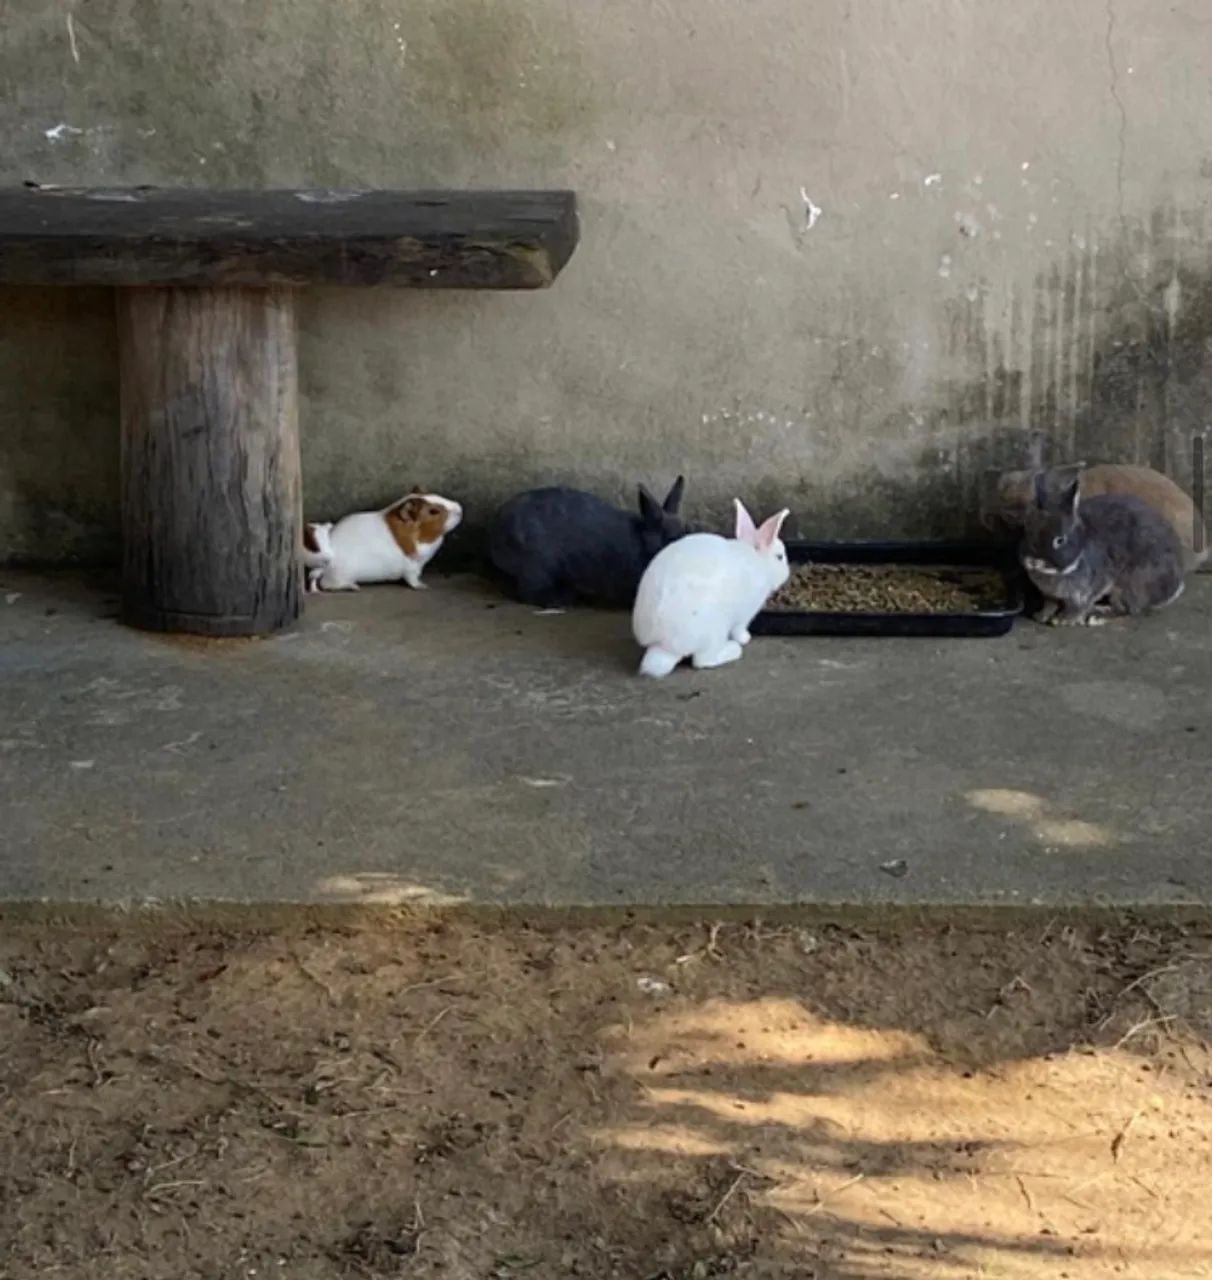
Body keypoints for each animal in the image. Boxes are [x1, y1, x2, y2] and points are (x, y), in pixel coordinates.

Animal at [307, 488, 462, 592]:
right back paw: (354, 587)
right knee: (328, 585)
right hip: (340, 576)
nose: (459, 508)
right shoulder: (412, 567)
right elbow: (413, 580)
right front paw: (423, 586)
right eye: (433, 511)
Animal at [487, 476, 688, 608]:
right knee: (528, 592)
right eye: (672, 537)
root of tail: (496, 528)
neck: (645, 544)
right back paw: (561, 598)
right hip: (537, 566)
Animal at [632, 500, 790, 677]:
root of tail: (664, 645)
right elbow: (739, 629)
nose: (787, 573)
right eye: (780, 557)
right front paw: (745, 639)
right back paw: (733, 649)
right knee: (703, 661)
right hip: (715, 631)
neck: (757, 560)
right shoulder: (744, 615)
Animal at [1020, 469, 1187, 626]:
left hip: (1128, 585)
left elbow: (1077, 607)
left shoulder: (1086, 591)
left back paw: (1097, 616)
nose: (1033, 561)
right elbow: (1050, 604)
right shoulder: (1050, 595)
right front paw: (1041, 616)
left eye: (1060, 540)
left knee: (1127, 610)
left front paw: (1063, 620)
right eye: (1028, 531)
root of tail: (1174, 586)